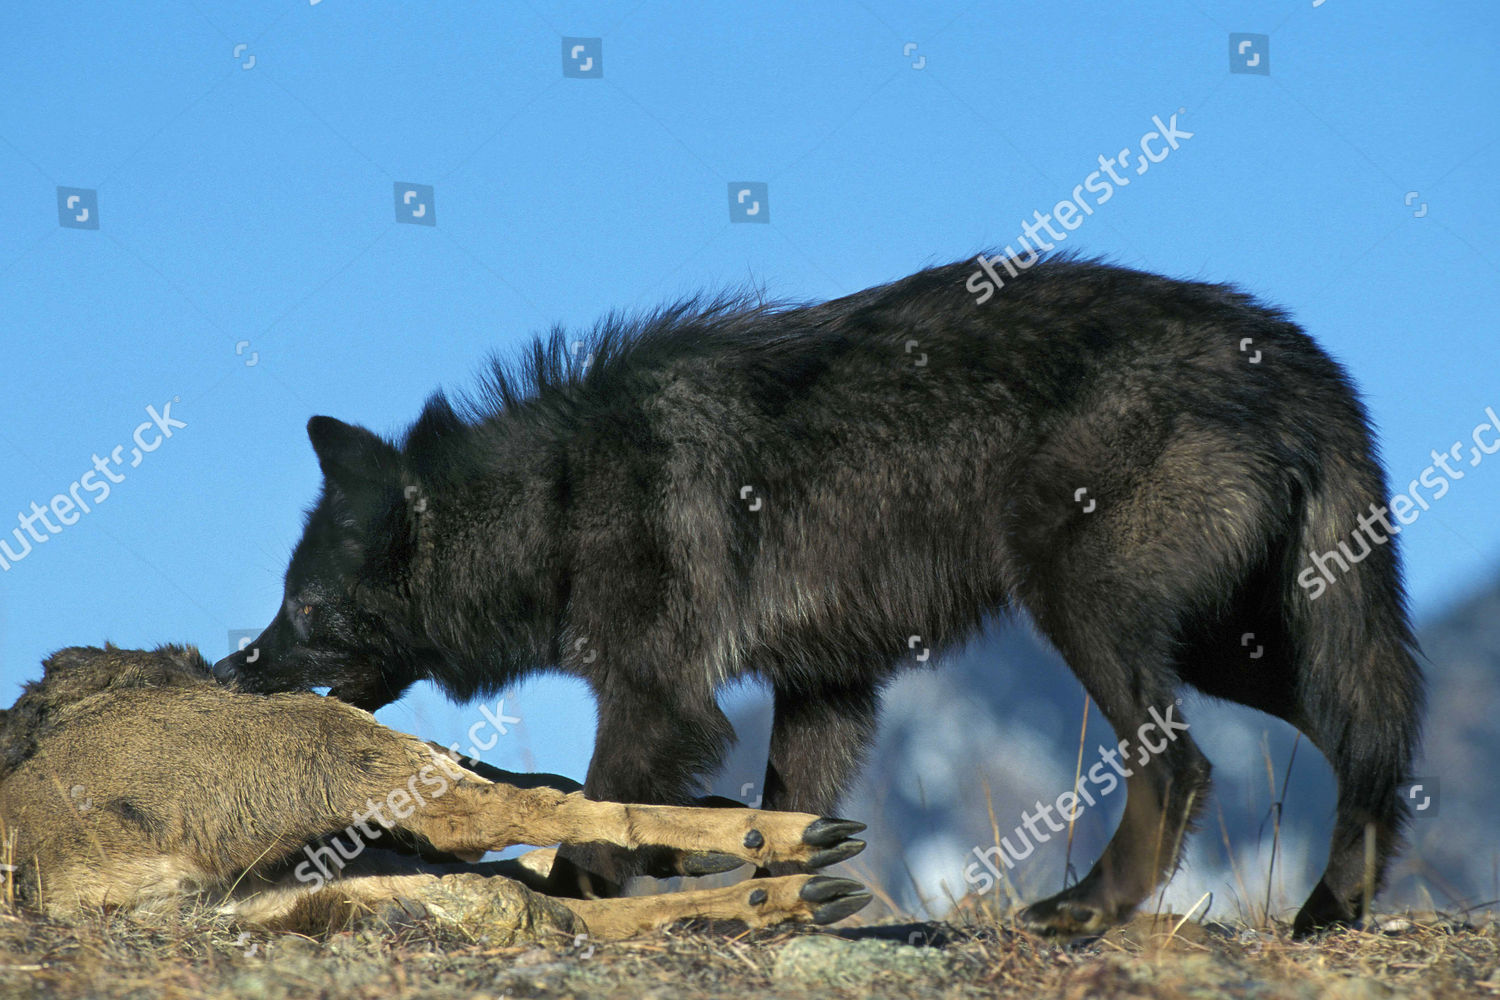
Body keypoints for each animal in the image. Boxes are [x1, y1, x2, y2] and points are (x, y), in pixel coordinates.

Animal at [217, 251, 1422, 941]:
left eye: (307, 609)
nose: (231, 671)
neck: (557, 498)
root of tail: (1293, 356)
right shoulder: (826, 689)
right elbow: (776, 811)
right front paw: (771, 884)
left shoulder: (658, 700)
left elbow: (604, 803)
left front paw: (573, 891)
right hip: (1247, 646)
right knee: (1373, 750)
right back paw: (1328, 915)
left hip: (1091, 610)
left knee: (1181, 766)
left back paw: (1086, 910)